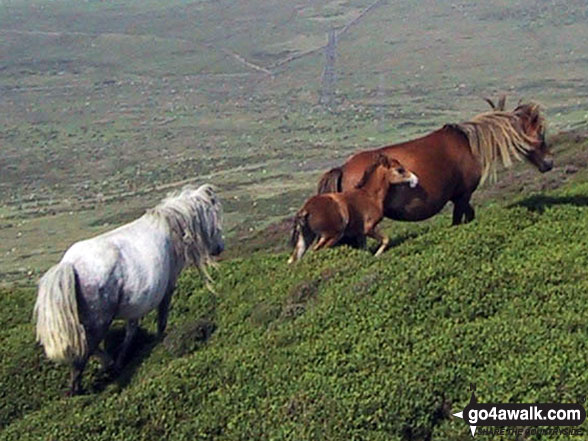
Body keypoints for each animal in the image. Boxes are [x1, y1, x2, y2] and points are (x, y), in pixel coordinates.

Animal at [33, 184, 224, 394]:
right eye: (215, 216)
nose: (220, 248)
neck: (170, 225)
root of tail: (70, 265)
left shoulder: (136, 305)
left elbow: (131, 331)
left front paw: (120, 361)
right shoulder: (168, 288)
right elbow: (161, 320)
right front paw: (158, 341)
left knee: (86, 347)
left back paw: (107, 365)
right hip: (98, 321)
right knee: (82, 354)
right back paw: (80, 389)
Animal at [288, 155, 416, 262]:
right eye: (400, 169)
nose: (415, 179)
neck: (369, 195)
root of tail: (305, 210)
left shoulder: (359, 232)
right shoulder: (368, 228)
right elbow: (385, 240)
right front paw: (376, 255)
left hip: (305, 239)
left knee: (293, 259)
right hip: (331, 236)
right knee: (316, 250)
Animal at [316, 101, 552, 225]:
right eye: (540, 133)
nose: (549, 163)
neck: (469, 144)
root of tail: (343, 169)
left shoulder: (460, 197)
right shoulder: (462, 195)